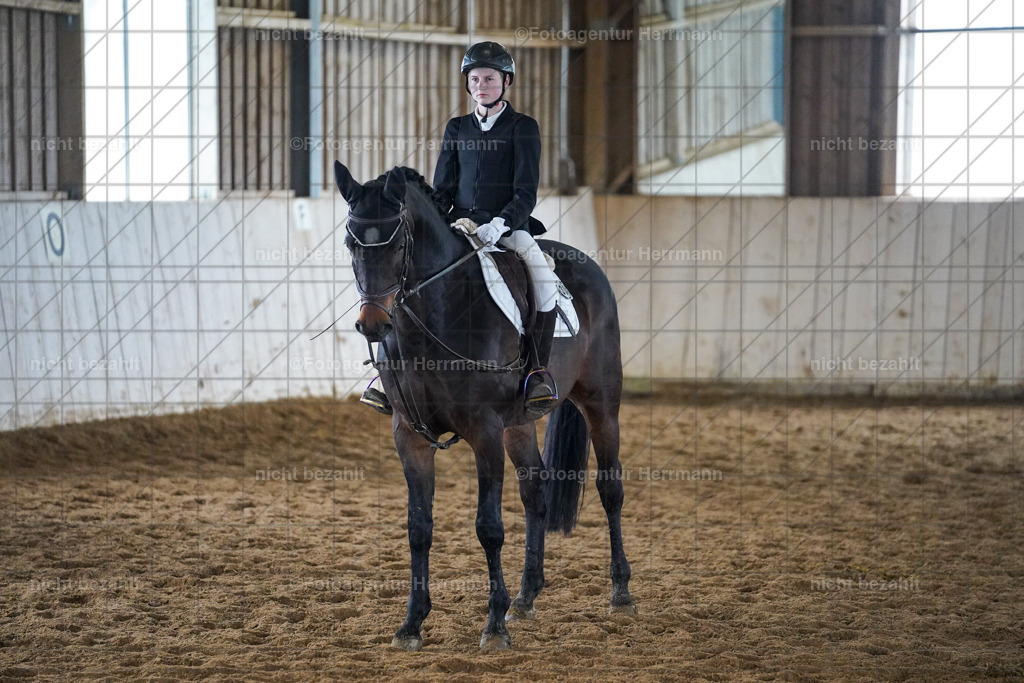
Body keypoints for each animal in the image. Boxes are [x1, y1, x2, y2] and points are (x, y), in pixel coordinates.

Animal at [333, 161, 636, 651]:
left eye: (398, 243)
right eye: (350, 243)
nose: (372, 325)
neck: (433, 319)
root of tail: (586, 262)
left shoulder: (484, 431)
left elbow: (488, 527)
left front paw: (493, 626)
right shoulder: (409, 436)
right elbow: (419, 528)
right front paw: (411, 624)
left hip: (601, 403)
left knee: (610, 489)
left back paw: (621, 593)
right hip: (519, 424)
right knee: (536, 492)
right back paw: (526, 598)